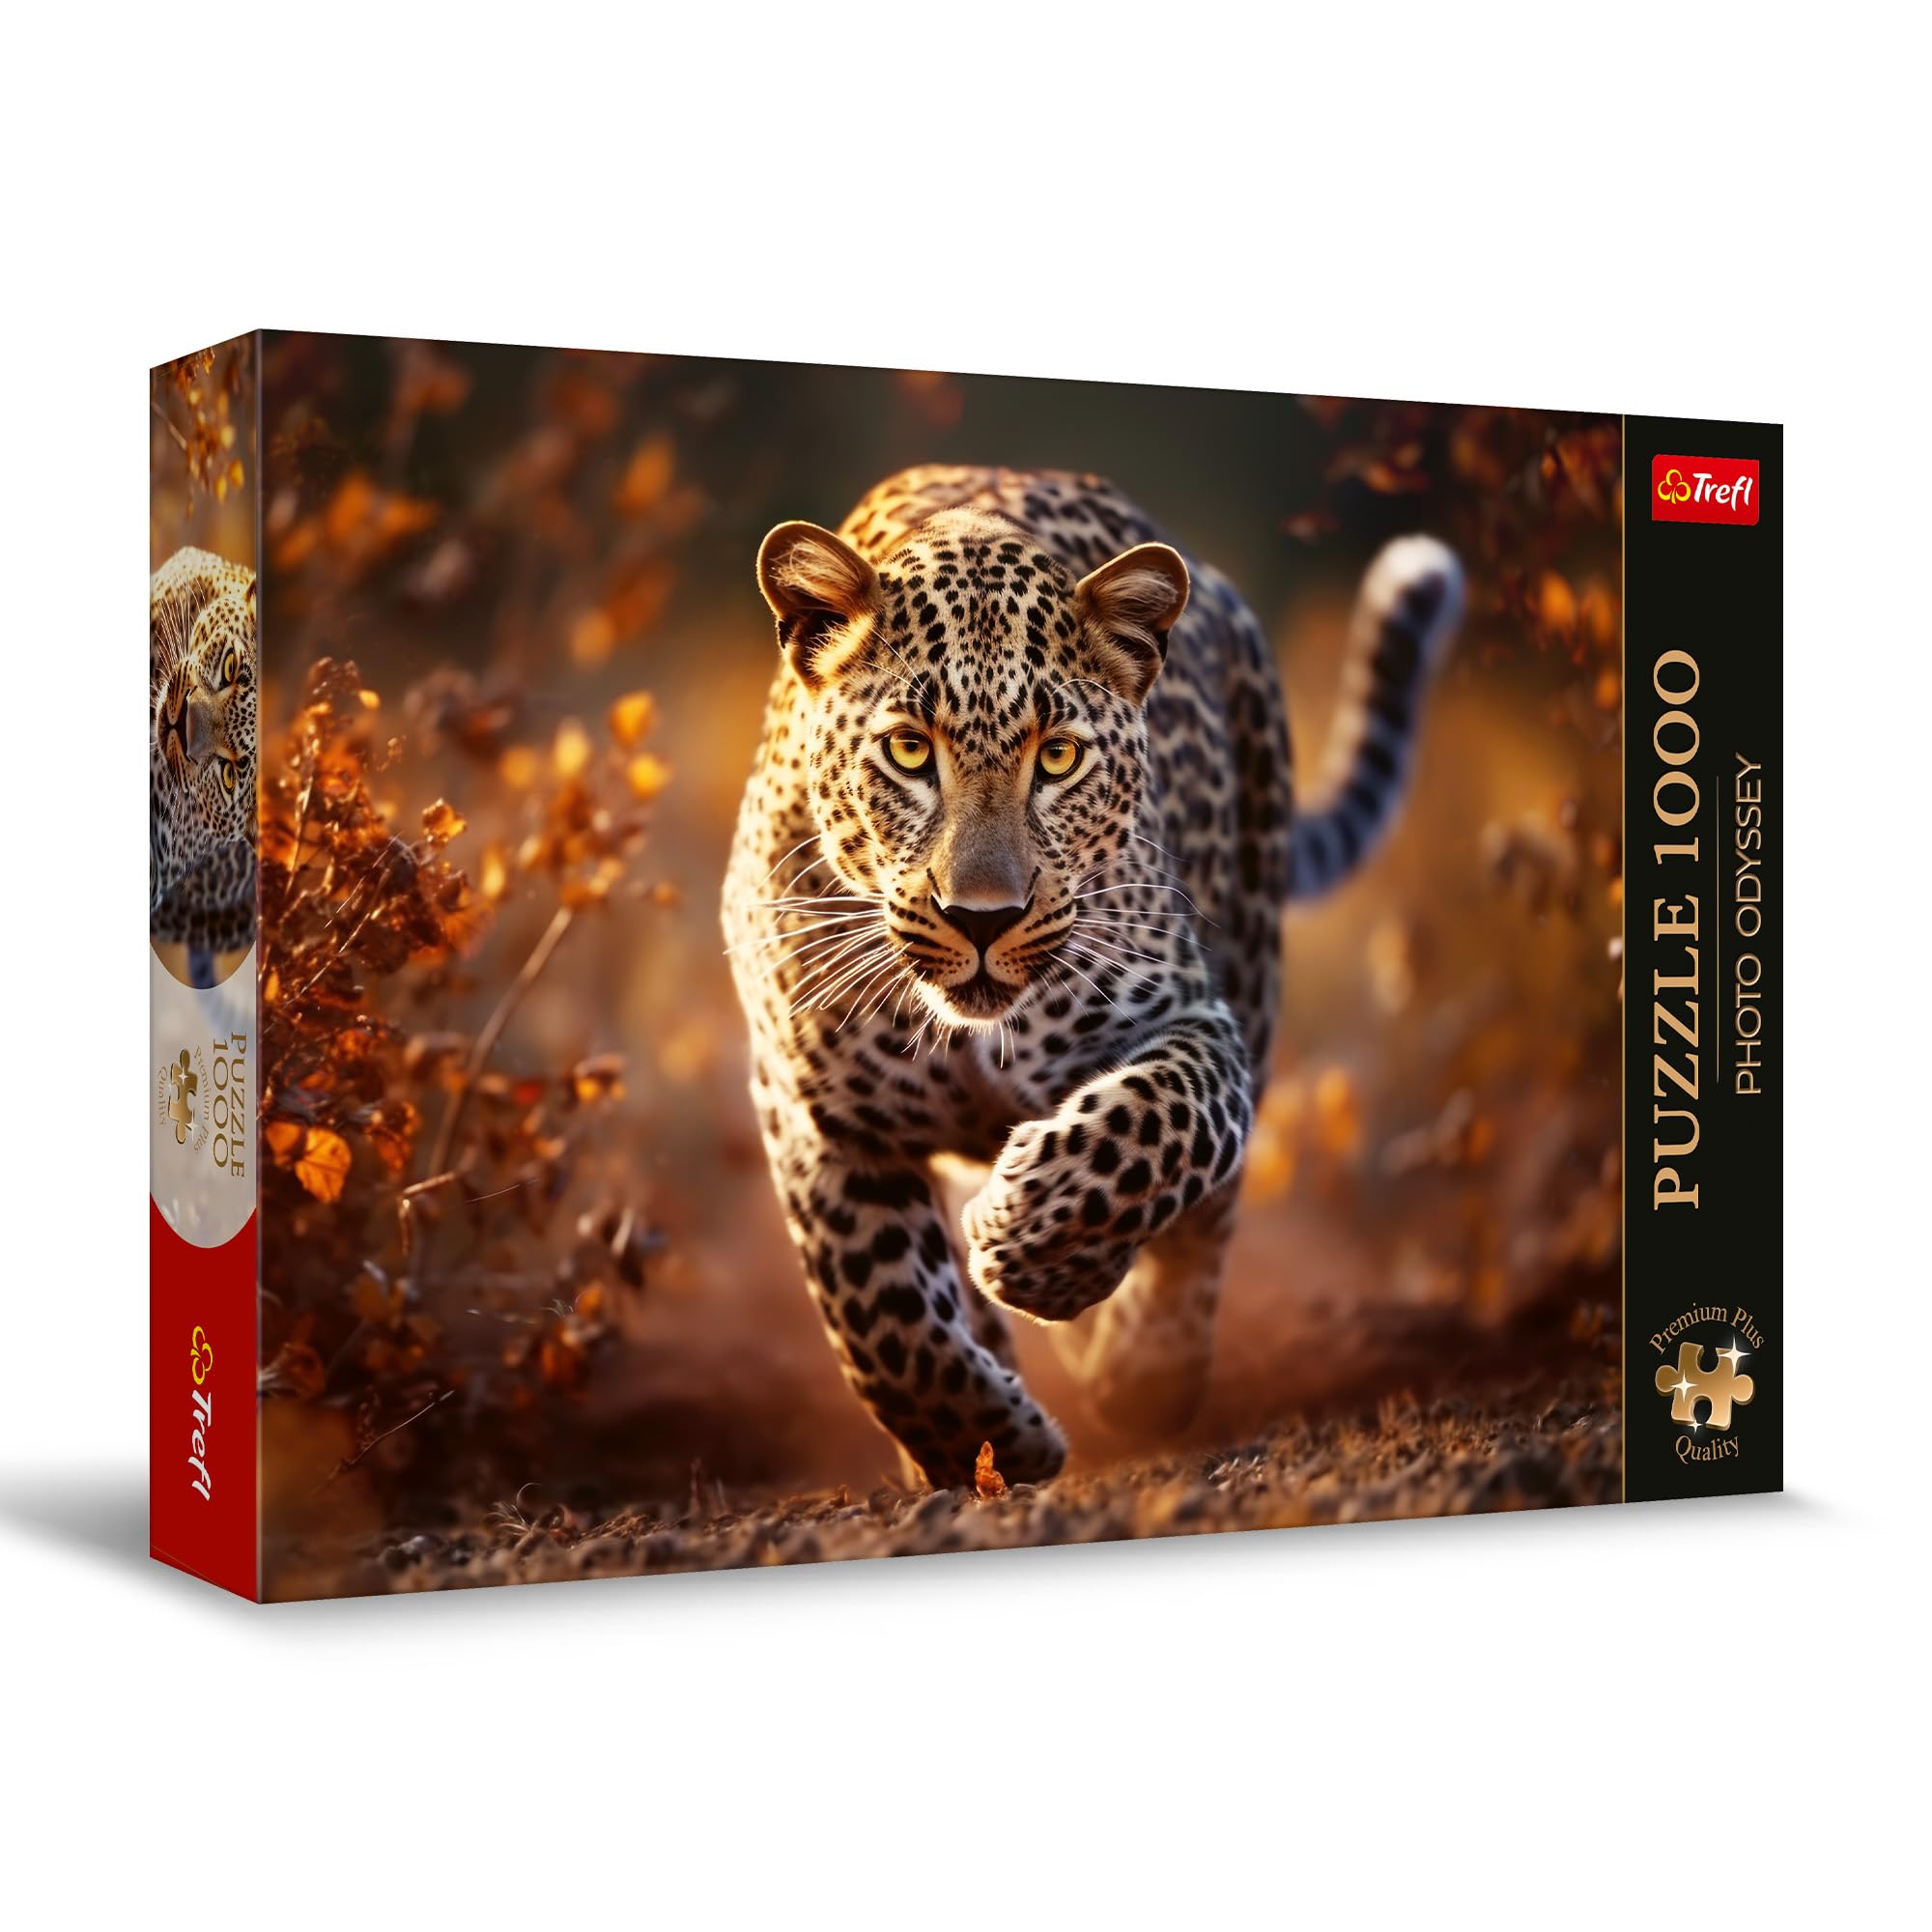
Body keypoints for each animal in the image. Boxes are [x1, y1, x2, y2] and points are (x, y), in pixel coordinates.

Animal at [723, 466, 1462, 1489]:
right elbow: (880, 1312)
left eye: (1058, 757)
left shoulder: (1195, 1021)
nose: (982, 917)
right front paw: (985, 1443)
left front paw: (1032, 1240)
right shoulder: (814, 1112)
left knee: (1207, 1223)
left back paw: (1145, 1367)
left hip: (1256, 956)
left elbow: (1155, 1127)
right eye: (909, 751)